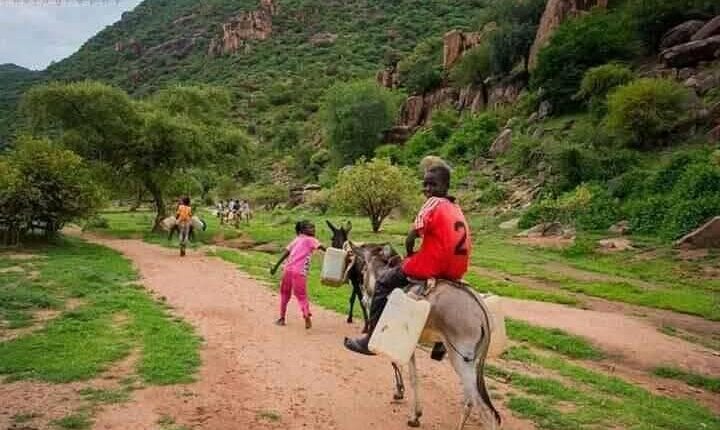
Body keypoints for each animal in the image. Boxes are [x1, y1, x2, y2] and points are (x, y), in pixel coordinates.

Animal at [347, 242, 501, 430]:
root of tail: (481, 312)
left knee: (482, 408)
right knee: (472, 399)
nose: (363, 296)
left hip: (459, 357)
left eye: (363, 270)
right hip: (471, 361)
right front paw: (402, 396)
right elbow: (402, 367)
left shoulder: (397, 339)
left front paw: (412, 411)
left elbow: (408, 373)